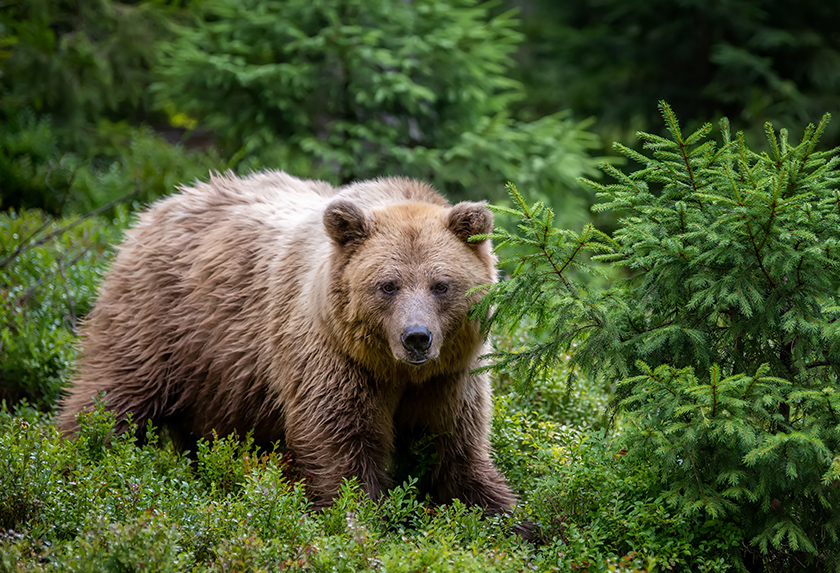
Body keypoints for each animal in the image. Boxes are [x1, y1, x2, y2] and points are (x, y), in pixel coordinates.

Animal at [57, 169, 520, 510]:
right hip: (161, 324)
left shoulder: (451, 377)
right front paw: (359, 516)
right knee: (111, 395)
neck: (394, 371)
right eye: (388, 285)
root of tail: (160, 205)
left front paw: (508, 515)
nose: (417, 338)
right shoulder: (330, 357)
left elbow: (456, 451)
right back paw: (77, 458)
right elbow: (340, 443)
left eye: (441, 285)